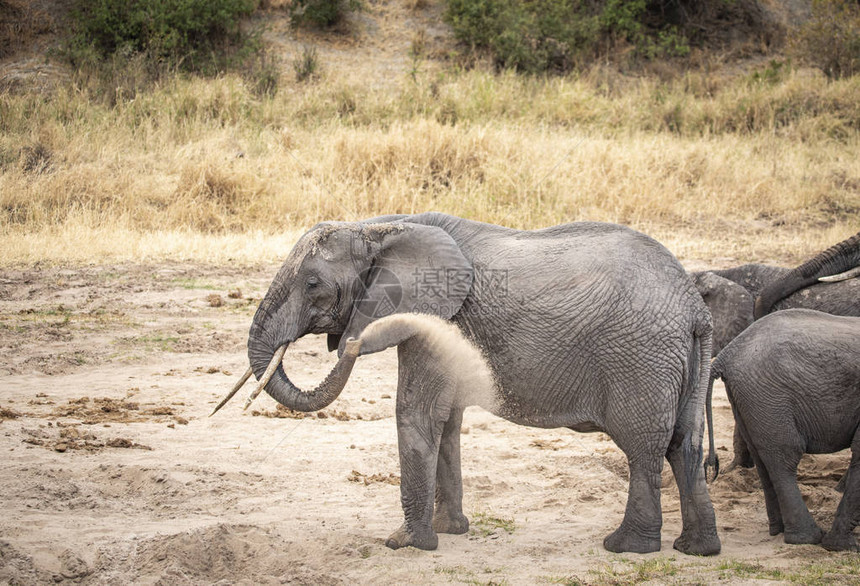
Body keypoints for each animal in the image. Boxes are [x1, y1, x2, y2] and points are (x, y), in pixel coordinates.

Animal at [213, 212, 720, 556]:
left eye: (313, 284)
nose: (351, 343)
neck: (379, 226)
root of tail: (696, 307)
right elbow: (448, 421)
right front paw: (450, 530)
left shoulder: (436, 318)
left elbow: (417, 414)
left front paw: (405, 543)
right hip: (681, 360)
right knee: (684, 446)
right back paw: (696, 550)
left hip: (642, 358)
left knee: (643, 447)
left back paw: (626, 547)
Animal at [704, 308, 860, 548]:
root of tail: (726, 354)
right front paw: (843, 547)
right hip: (769, 396)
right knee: (785, 457)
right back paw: (806, 538)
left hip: (749, 399)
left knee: (764, 459)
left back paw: (778, 530)